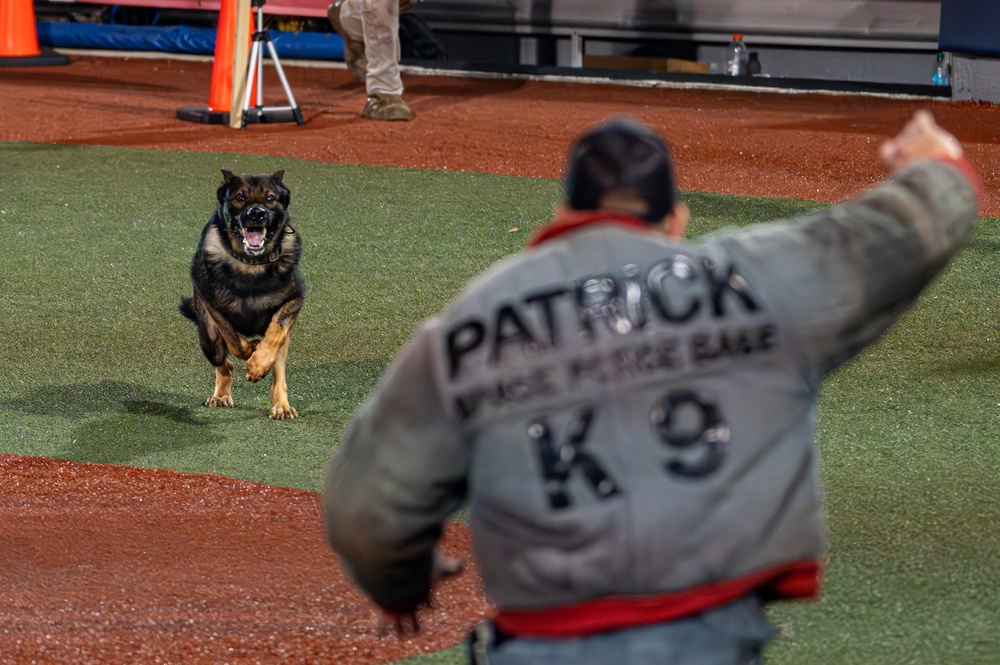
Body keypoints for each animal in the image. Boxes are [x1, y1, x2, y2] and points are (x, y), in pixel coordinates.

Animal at [180, 171, 304, 420]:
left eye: (270, 198)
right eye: (240, 197)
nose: (256, 213)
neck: (252, 265)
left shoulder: (294, 300)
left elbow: (276, 333)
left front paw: (259, 364)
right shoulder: (214, 308)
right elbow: (236, 342)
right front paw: (252, 351)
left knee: (277, 371)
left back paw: (281, 405)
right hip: (209, 339)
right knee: (224, 363)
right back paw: (220, 395)